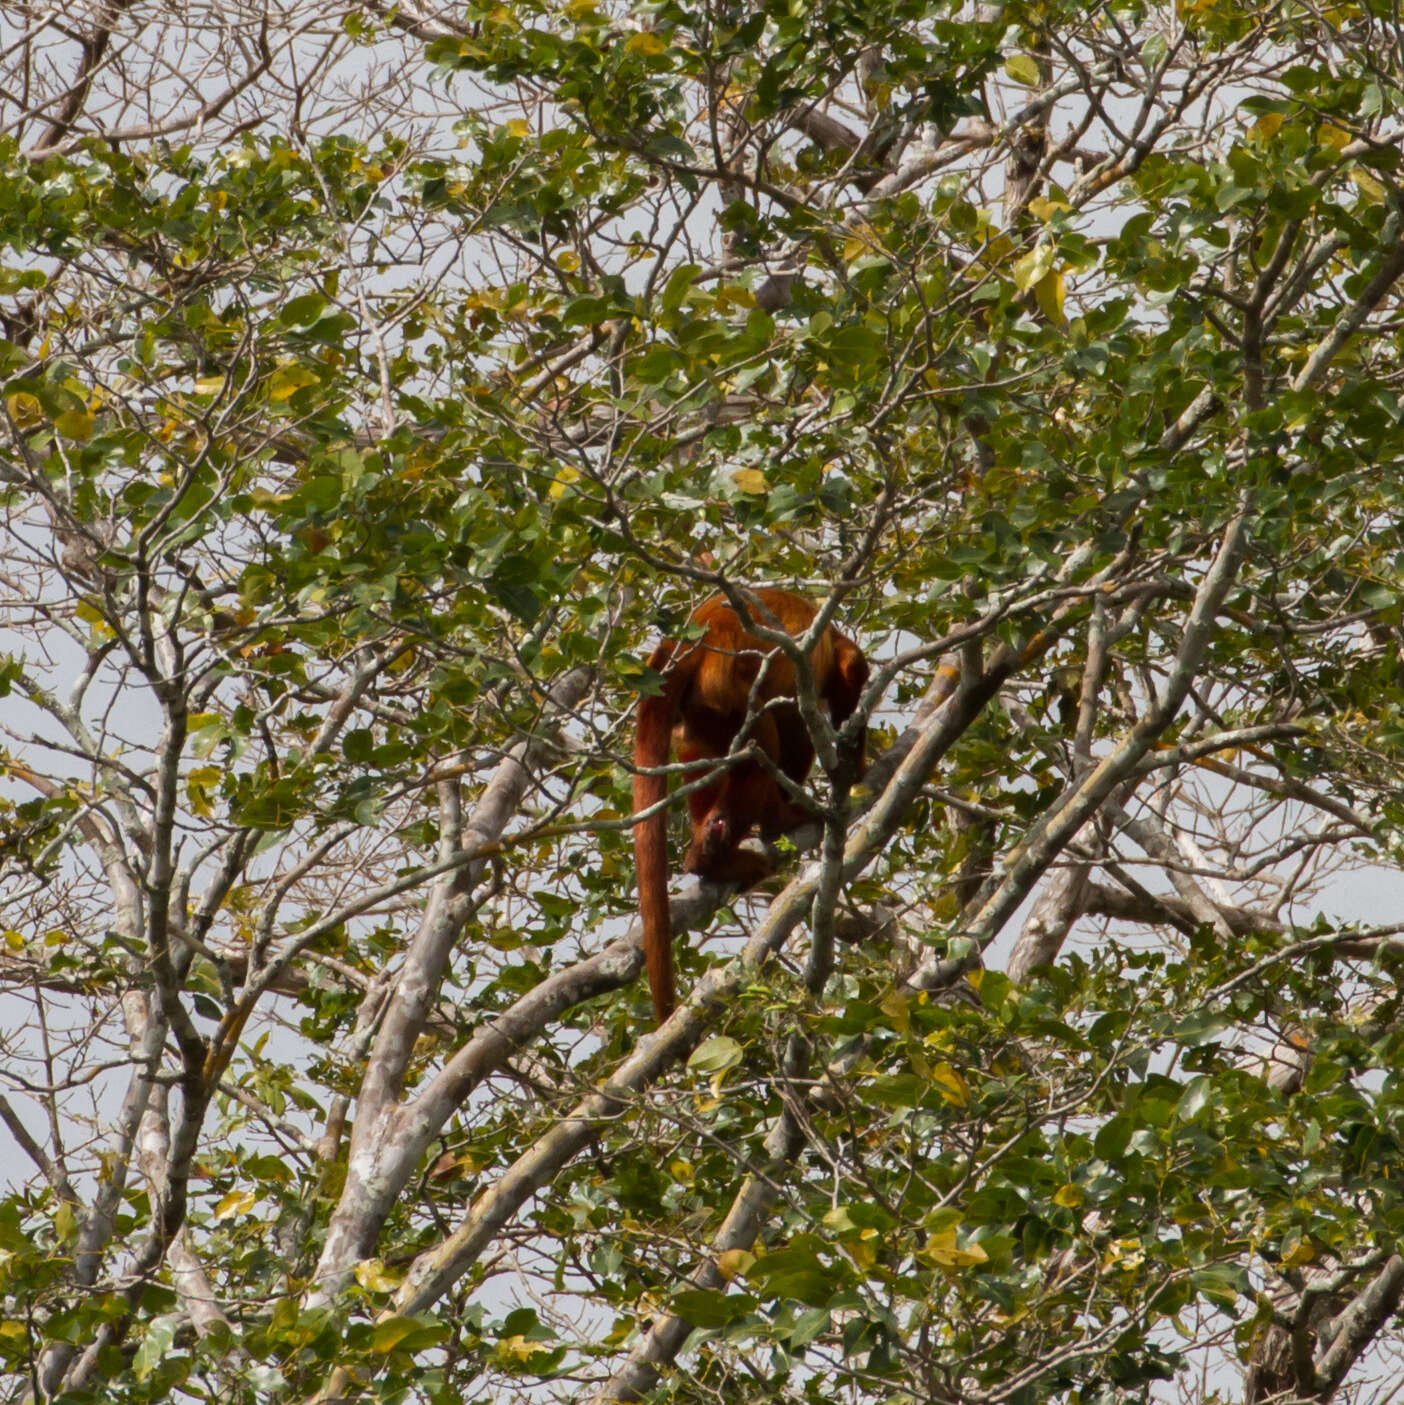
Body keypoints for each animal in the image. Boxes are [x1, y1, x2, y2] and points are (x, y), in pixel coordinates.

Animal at [635, 590, 865, 1022]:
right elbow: (840, 679)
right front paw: (852, 760)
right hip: (727, 692)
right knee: (766, 741)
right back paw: (746, 837)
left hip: (699, 715)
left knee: (706, 754)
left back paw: (711, 849)